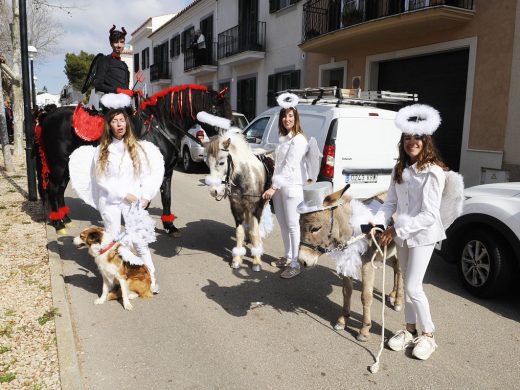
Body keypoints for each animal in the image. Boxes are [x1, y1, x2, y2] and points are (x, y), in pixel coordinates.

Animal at [36, 85, 232, 235]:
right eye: (218, 111)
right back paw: (58, 224)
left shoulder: (167, 172)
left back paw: (66, 219)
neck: (161, 127)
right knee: (53, 188)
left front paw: (169, 226)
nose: (228, 143)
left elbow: (166, 197)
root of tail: (48, 116)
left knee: (60, 189)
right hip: (58, 164)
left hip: (67, 166)